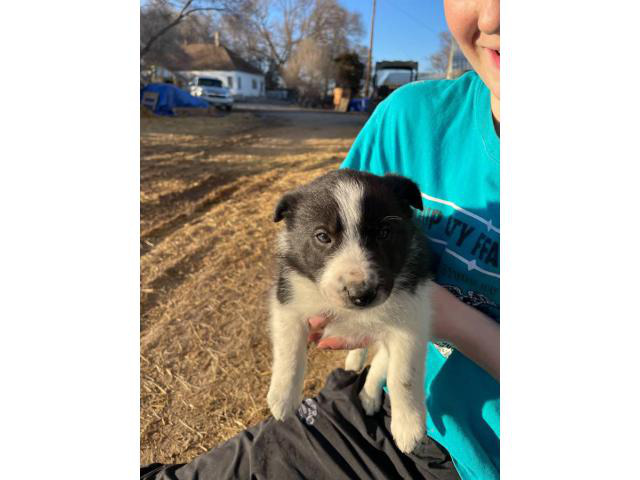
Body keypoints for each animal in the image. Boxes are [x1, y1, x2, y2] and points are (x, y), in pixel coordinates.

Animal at [264, 169, 436, 454]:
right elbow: (289, 352)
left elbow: (403, 374)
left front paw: (408, 426)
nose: (361, 295)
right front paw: (282, 398)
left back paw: (369, 394)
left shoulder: (413, 313)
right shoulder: (288, 297)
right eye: (323, 236)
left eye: (385, 232)